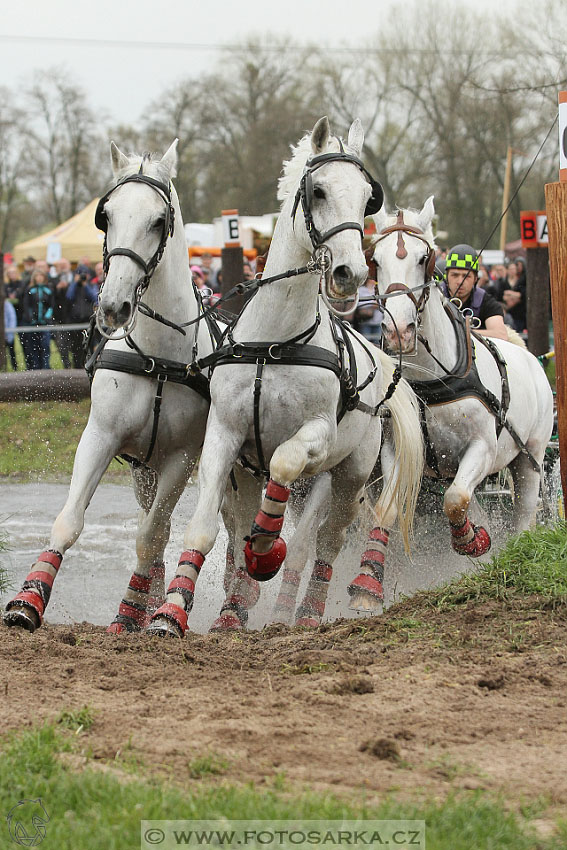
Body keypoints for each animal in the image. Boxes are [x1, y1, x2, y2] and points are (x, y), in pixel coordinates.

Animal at [3, 139, 215, 628]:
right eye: (108, 215)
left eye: (158, 221)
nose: (114, 306)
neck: (157, 356)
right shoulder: (99, 436)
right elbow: (69, 520)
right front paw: (28, 599)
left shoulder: (182, 456)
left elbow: (150, 536)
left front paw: (131, 610)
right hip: (143, 468)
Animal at [148, 116, 426, 632]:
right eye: (318, 190)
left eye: (367, 197)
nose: (350, 273)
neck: (275, 343)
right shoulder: (225, 434)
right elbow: (202, 528)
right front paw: (171, 612)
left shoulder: (316, 433)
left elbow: (283, 463)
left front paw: (264, 549)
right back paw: (234, 610)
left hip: (350, 474)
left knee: (328, 541)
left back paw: (309, 610)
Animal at [370, 197, 552, 556]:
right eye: (375, 260)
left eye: (423, 258)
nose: (399, 331)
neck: (430, 380)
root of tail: (531, 358)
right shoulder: (397, 446)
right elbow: (387, 508)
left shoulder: (483, 448)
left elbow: (455, 499)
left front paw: (470, 539)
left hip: (531, 459)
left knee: (523, 514)